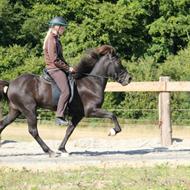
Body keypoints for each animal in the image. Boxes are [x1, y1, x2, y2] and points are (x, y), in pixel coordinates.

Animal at [0, 45, 131, 156]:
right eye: (118, 62)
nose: (129, 78)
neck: (92, 83)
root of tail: (11, 83)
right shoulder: (91, 110)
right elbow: (112, 115)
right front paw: (113, 131)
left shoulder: (78, 115)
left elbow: (69, 130)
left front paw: (62, 148)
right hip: (29, 110)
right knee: (33, 131)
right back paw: (50, 151)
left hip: (15, 110)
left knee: (2, 124)